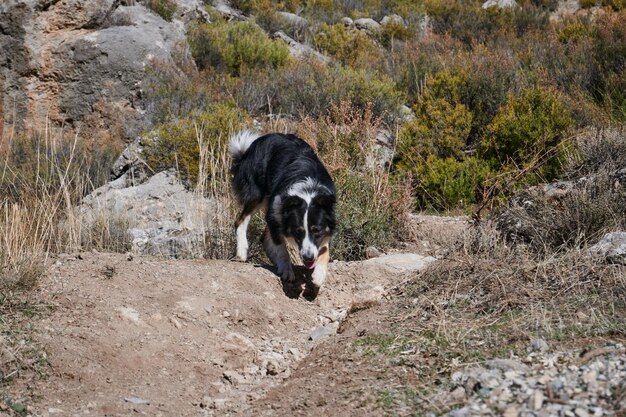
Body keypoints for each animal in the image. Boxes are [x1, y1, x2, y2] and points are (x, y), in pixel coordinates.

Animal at [229, 132, 336, 288]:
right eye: (298, 231)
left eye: (317, 230)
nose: (308, 258)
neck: (308, 191)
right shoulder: (276, 210)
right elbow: (281, 246)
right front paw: (286, 269)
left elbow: (324, 248)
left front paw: (319, 275)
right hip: (257, 193)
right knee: (241, 221)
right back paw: (242, 252)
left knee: (264, 237)